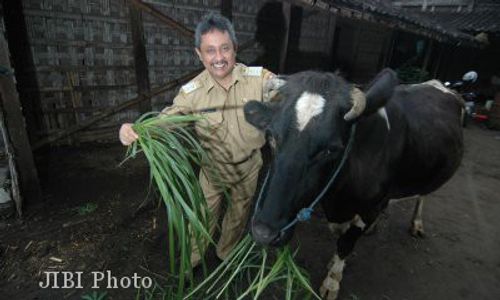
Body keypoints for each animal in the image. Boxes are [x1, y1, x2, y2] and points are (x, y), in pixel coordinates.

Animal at [244, 69, 462, 298]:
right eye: (271, 136)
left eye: (330, 149)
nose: (264, 233)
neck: (338, 197)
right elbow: (341, 236)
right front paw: (335, 263)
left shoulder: (370, 208)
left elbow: (346, 243)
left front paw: (332, 282)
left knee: (423, 195)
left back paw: (417, 223)